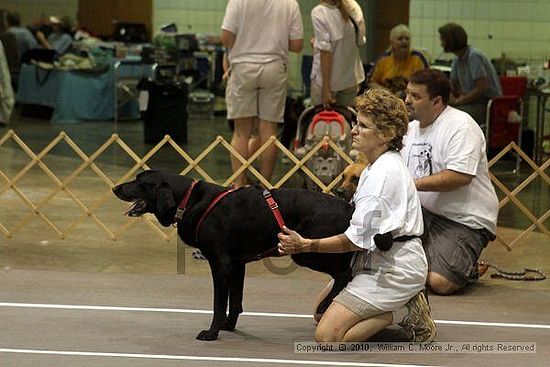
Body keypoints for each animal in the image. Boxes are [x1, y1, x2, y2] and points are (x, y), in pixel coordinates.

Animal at [113, 171, 354, 340]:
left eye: (140, 182)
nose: (115, 187)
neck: (189, 200)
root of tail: (349, 208)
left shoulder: (221, 264)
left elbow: (219, 304)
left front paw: (212, 333)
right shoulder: (237, 264)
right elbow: (236, 301)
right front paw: (228, 326)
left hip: (306, 251)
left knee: (345, 274)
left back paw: (324, 306)